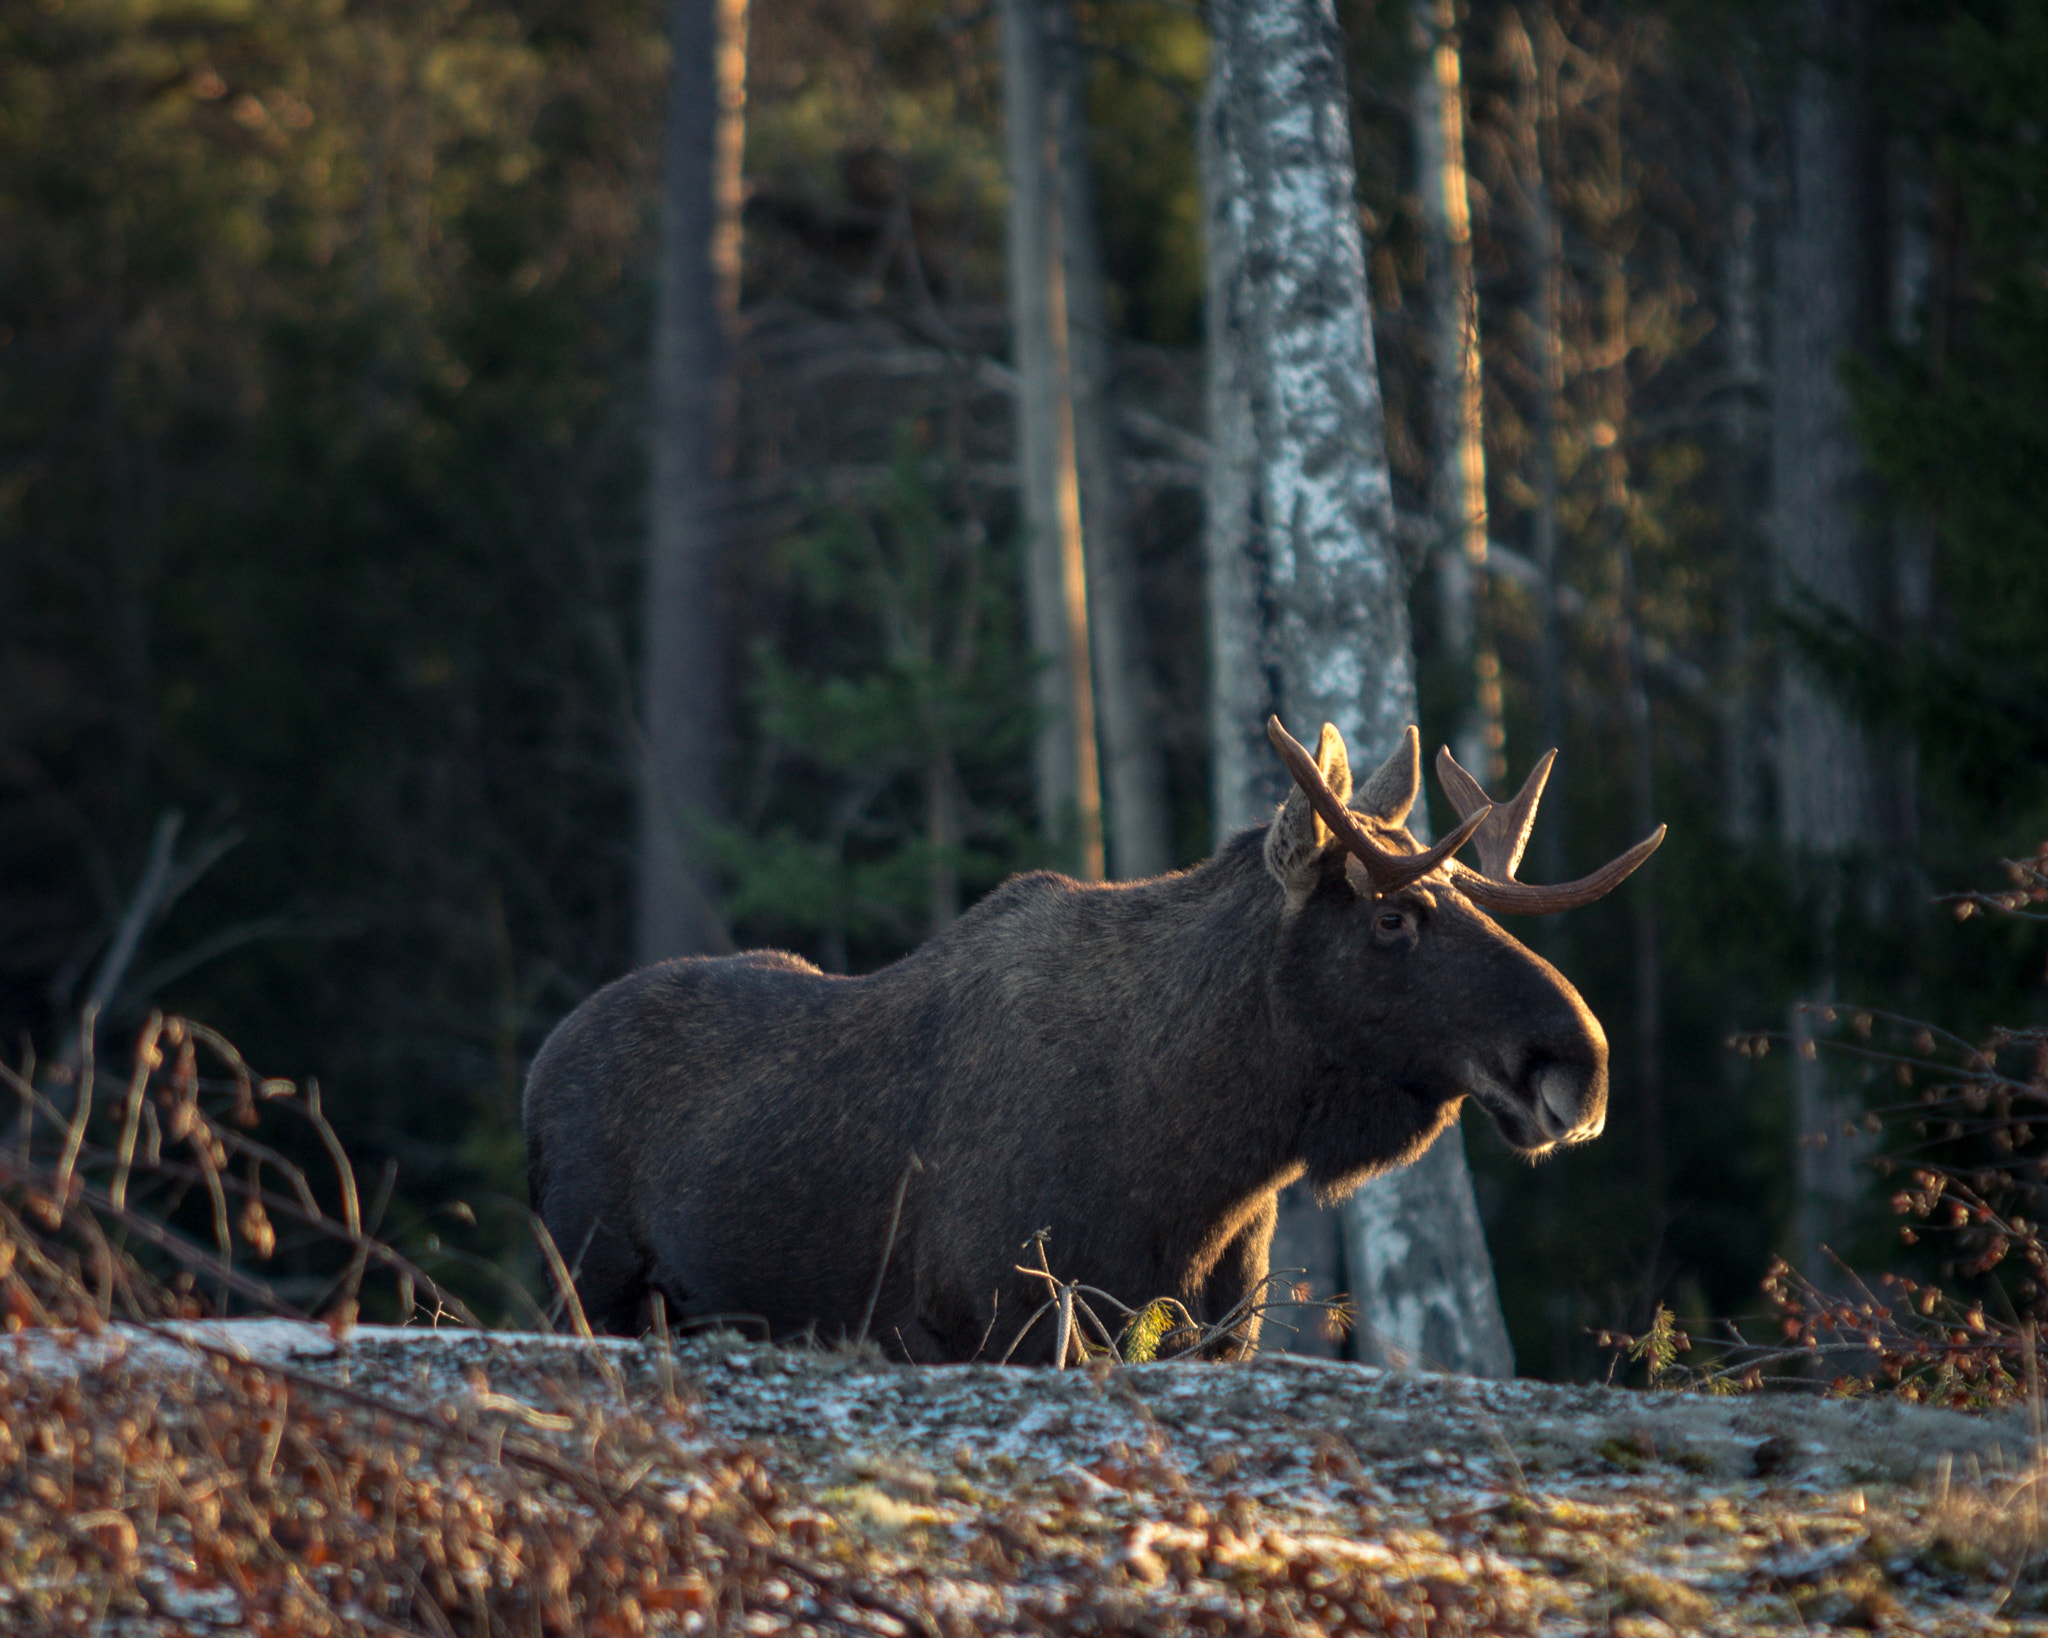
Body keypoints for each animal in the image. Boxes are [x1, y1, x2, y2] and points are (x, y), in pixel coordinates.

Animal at [520, 716, 1654, 1359]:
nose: (1581, 1067)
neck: (1202, 1168)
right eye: (1390, 918)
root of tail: (537, 1065)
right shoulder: (998, 1324)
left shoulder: (1214, 1337)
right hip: (589, 1286)